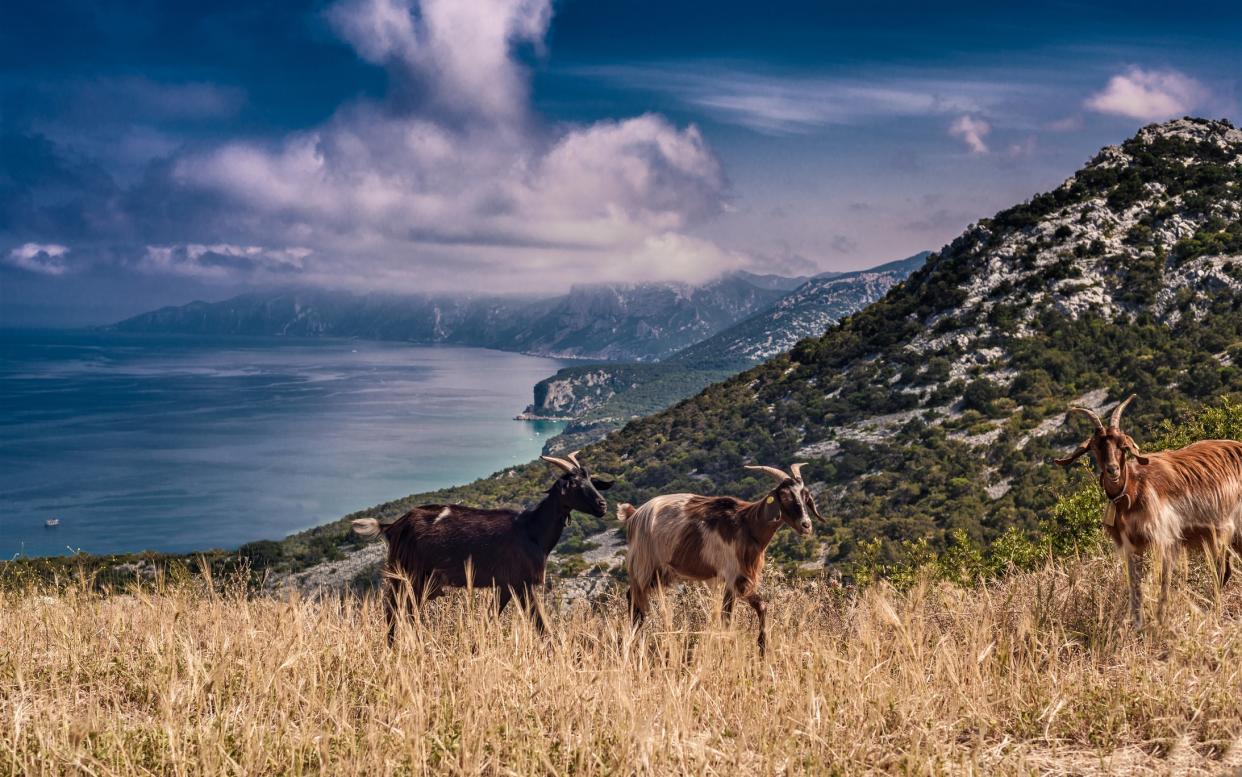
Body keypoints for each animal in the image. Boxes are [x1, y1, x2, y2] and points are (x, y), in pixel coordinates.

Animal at [352, 451, 608, 640]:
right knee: (395, 610)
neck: (531, 530)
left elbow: (490, 618)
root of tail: (394, 525)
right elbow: (540, 625)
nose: (602, 505)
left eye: (591, 480)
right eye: (573, 484)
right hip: (407, 574)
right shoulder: (521, 582)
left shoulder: (506, 585)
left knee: (404, 611)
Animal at [618, 461, 814, 650]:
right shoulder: (734, 576)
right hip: (644, 566)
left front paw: (761, 646)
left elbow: (754, 608)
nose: (806, 525)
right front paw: (753, 646)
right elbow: (733, 615)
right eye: (786, 496)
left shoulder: (738, 579)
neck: (747, 525)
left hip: (660, 572)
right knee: (634, 600)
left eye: (805, 496)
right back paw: (635, 642)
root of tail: (634, 515)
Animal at [1053, 392, 1242, 623]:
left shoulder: (1163, 539)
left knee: (1221, 572)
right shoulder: (1132, 547)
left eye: (1122, 446)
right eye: (1096, 447)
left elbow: (1163, 582)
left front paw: (1160, 620)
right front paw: (1137, 623)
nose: (1113, 470)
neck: (1132, 491)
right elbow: (1136, 586)